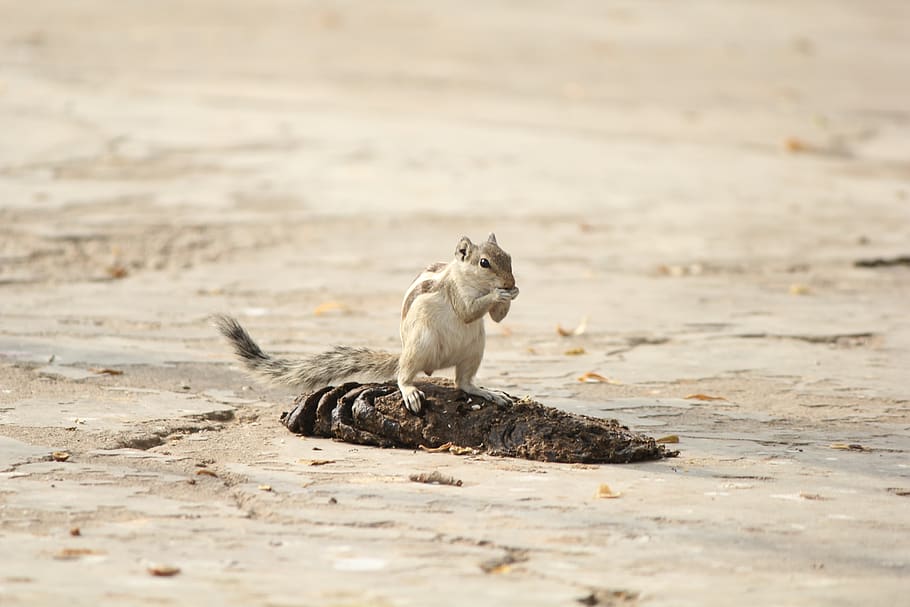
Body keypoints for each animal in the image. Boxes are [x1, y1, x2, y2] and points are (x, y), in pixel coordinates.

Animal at [214, 233, 519, 413]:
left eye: (509, 257)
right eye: (484, 263)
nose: (510, 282)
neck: (466, 278)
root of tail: (432, 364)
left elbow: (496, 318)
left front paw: (511, 295)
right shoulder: (456, 293)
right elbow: (467, 311)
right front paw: (498, 294)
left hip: (474, 349)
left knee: (463, 383)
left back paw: (487, 392)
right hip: (420, 344)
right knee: (403, 376)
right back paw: (410, 392)